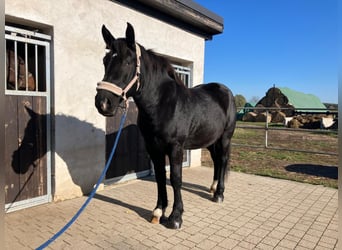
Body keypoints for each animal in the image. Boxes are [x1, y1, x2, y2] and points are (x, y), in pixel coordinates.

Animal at [95, 23, 236, 229]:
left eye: (128, 62)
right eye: (105, 61)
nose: (103, 103)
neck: (162, 103)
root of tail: (226, 91)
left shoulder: (175, 147)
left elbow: (175, 179)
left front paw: (176, 217)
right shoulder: (153, 148)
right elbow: (160, 177)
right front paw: (158, 211)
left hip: (225, 138)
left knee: (223, 160)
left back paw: (219, 194)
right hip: (211, 140)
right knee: (217, 161)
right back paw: (212, 188)